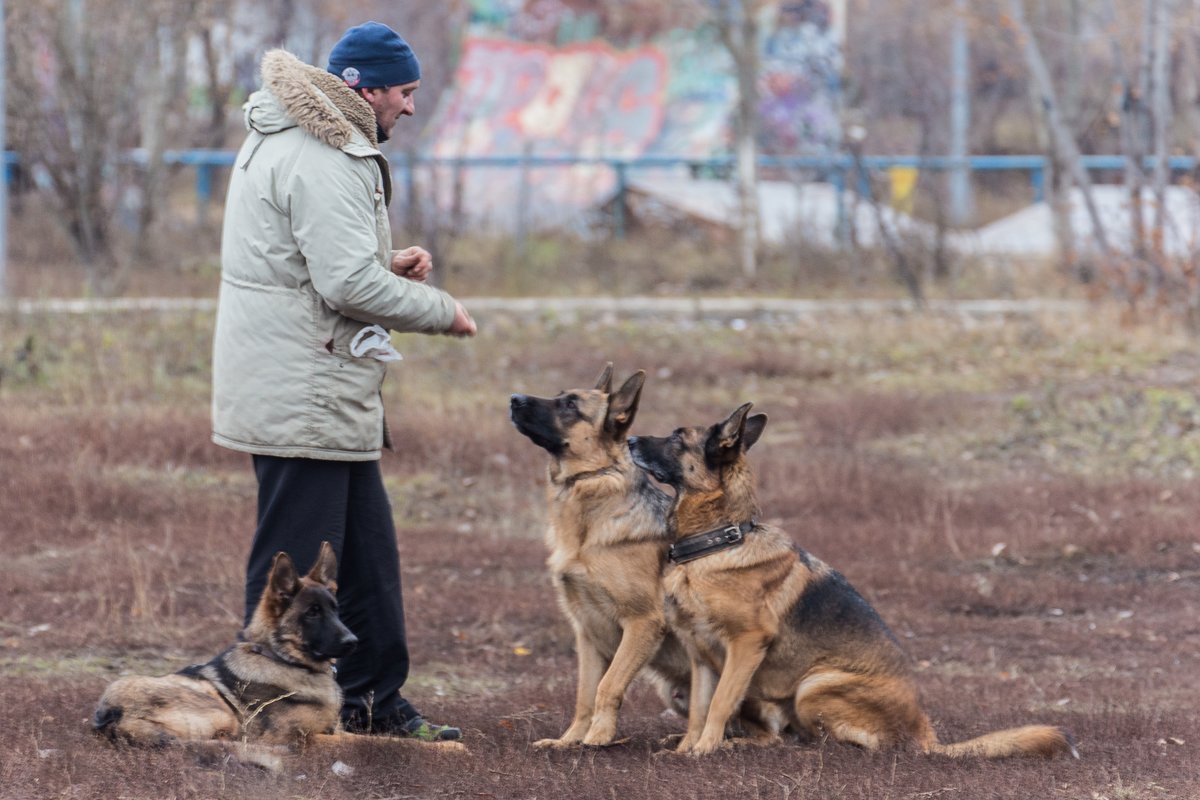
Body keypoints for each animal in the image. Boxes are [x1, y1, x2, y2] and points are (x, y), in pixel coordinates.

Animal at [93, 542, 355, 762]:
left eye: (335, 609)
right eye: (312, 612)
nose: (353, 641)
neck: (282, 658)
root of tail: (112, 714)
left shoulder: (333, 731)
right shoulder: (299, 738)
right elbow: (361, 743)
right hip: (218, 708)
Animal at [508, 367, 696, 748]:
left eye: (570, 404)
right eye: (559, 395)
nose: (513, 398)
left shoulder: (641, 623)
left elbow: (608, 686)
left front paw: (598, 736)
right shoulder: (587, 632)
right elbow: (584, 694)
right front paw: (569, 742)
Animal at [628, 402, 1080, 762]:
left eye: (676, 437)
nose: (629, 438)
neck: (718, 541)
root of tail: (926, 732)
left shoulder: (747, 643)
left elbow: (720, 704)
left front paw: (704, 750)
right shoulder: (701, 657)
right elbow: (700, 711)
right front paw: (688, 748)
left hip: (814, 685)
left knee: (840, 743)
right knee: (776, 736)